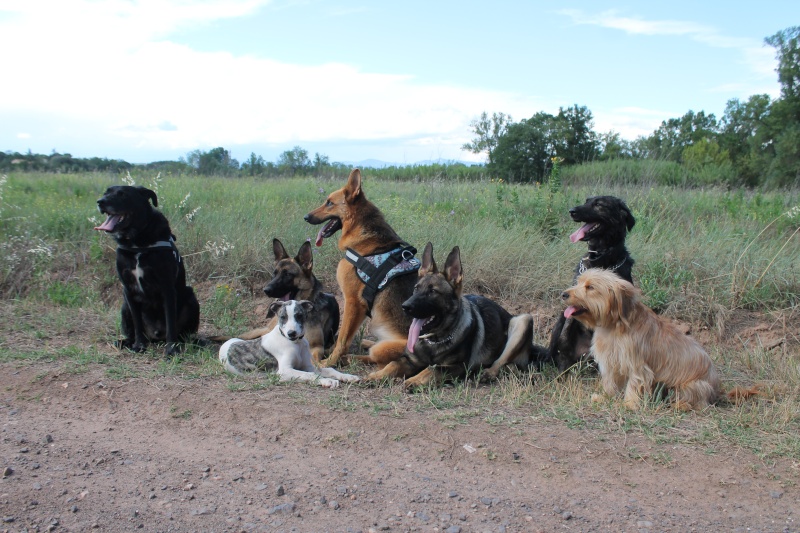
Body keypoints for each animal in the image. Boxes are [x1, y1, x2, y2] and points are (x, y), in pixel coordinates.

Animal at [94, 185, 199, 356]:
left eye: (122, 194)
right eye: (106, 192)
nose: (100, 202)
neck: (137, 242)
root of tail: (156, 336)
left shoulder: (167, 288)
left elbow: (171, 323)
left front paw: (171, 349)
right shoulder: (128, 290)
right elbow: (137, 324)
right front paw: (139, 345)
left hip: (191, 296)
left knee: (184, 334)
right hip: (124, 306)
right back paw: (125, 342)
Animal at [216, 300, 360, 386]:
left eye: (299, 316)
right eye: (282, 317)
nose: (292, 333)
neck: (296, 344)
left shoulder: (308, 365)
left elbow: (329, 369)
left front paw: (348, 377)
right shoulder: (285, 371)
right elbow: (309, 375)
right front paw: (327, 381)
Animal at [548, 193, 636, 372]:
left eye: (599, 204)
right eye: (586, 201)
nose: (572, 211)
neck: (600, 259)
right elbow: (565, 337)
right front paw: (562, 365)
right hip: (559, 320)